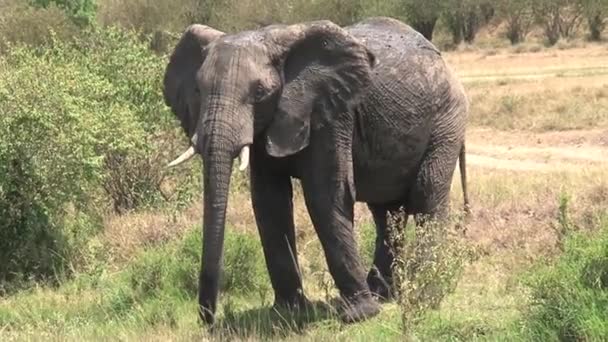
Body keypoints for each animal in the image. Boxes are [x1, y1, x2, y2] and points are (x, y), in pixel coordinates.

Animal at [162, 16, 470, 324]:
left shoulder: (332, 113)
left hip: (447, 120)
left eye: (259, 93)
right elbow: (269, 202)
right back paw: (383, 294)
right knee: (387, 212)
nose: (207, 319)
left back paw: (424, 293)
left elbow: (325, 195)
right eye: (198, 90)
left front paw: (360, 316)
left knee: (426, 196)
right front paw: (288, 312)